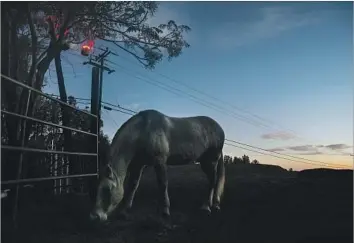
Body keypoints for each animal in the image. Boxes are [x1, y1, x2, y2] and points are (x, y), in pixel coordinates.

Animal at [90, 109, 225, 223]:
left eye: (107, 189)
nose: (95, 216)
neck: (143, 130)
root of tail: (219, 128)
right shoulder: (138, 164)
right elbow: (133, 185)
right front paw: (124, 212)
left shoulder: (160, 162)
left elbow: (162, 184)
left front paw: (165, 211)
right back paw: (214, 204)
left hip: (210, 162)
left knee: (213, 181)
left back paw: (206, 207)